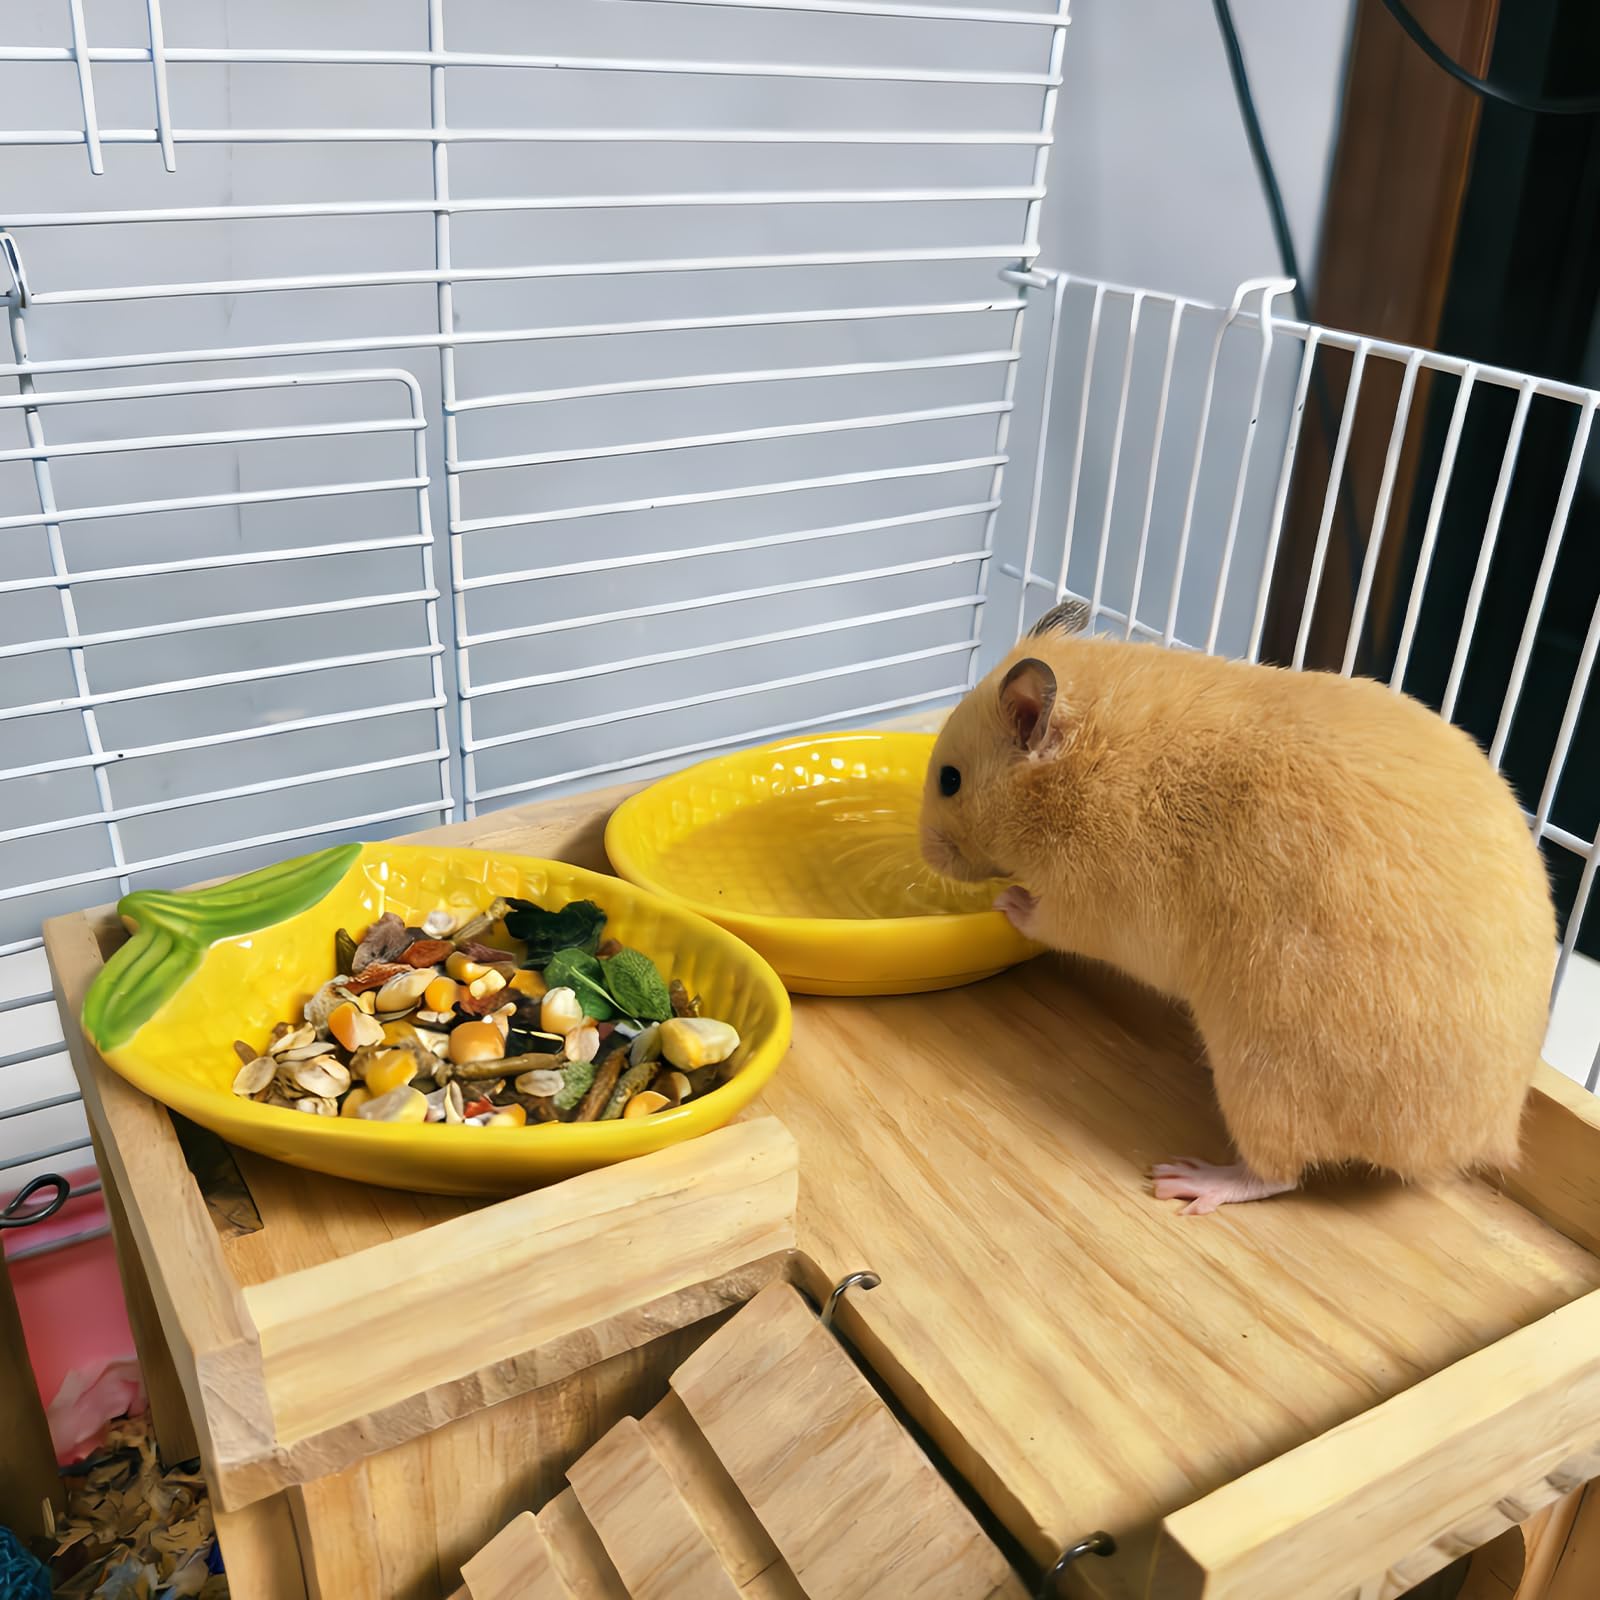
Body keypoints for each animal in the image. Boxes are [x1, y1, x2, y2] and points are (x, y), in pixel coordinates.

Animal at [920, 599, 1555, 1215]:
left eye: (950, 780)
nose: (924, 853)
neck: (1083, 764)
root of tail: (1484, 1137)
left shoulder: (1093, 902)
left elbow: (1046, 916)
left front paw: (1006, 899)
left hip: (1264, 1072)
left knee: (1279, 1174)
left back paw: (1186, 1181)